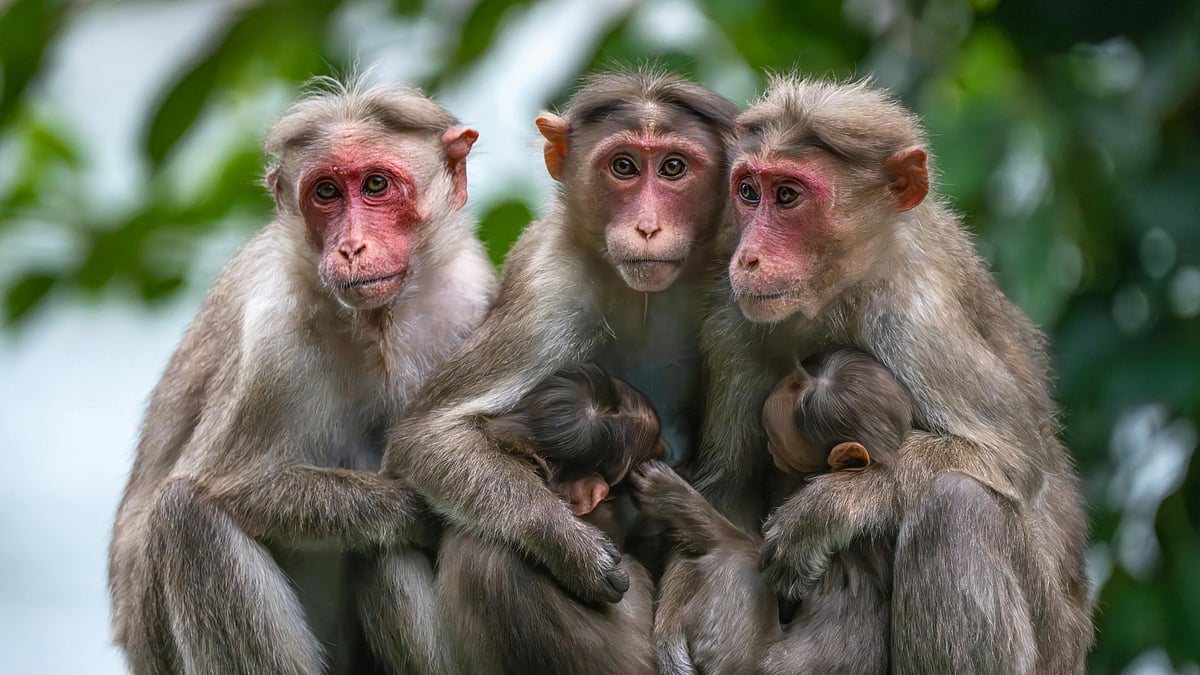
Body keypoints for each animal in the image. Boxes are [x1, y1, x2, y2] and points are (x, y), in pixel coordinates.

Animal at [106, 79, 498, 675]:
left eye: (376, 185)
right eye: (326, 193)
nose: (351, 247)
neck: (375, 323)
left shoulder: (470, 298)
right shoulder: (272, 337)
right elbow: (228, 482)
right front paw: (409, 508)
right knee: (187, 518)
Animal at [383, 69, 738, 604]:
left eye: (673, 167)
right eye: (624, 166)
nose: (647, 227)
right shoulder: (548, 286)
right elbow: (428, 436)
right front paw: (572, 547)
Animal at [690, 76, 1094, 673]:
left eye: (787, 196)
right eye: (748, 191)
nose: (748, 259)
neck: (838, 293)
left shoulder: (915, 316)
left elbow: (1013, 461)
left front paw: (831, 507)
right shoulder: (733, 321)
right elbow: (727, 489)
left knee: (956, 507)